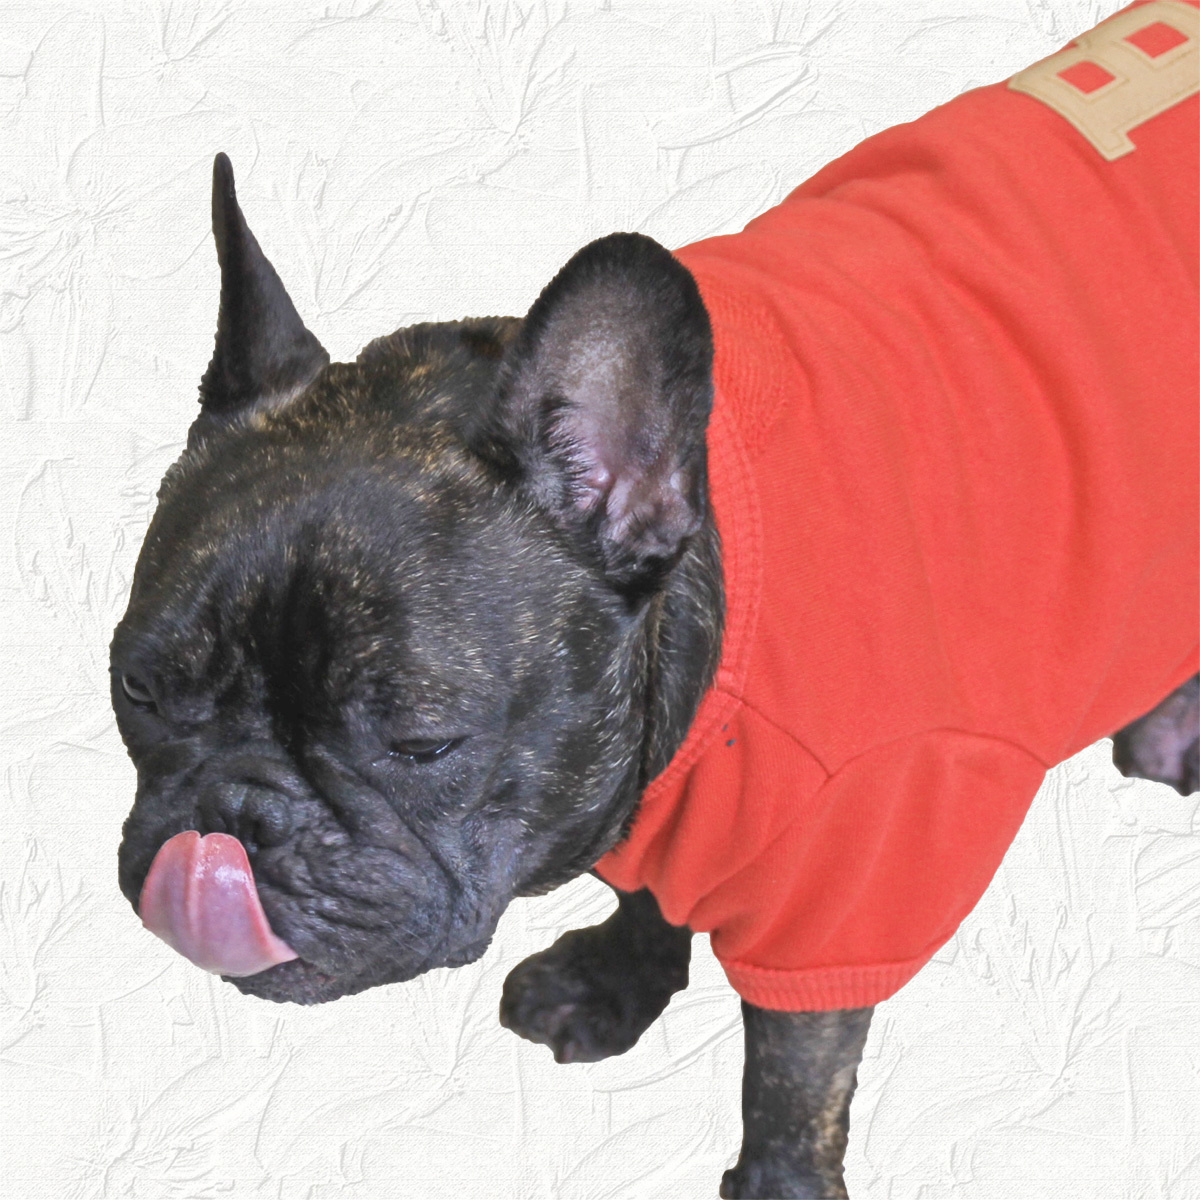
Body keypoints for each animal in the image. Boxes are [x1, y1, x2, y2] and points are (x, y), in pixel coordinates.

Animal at [113, 4, 1198, 1196]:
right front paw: (618, 978)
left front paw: (779, 1180)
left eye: (419, 741)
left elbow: (792, 1070)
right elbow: (649, 892)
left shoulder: (848, 893)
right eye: (138, 692)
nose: (231, 819)